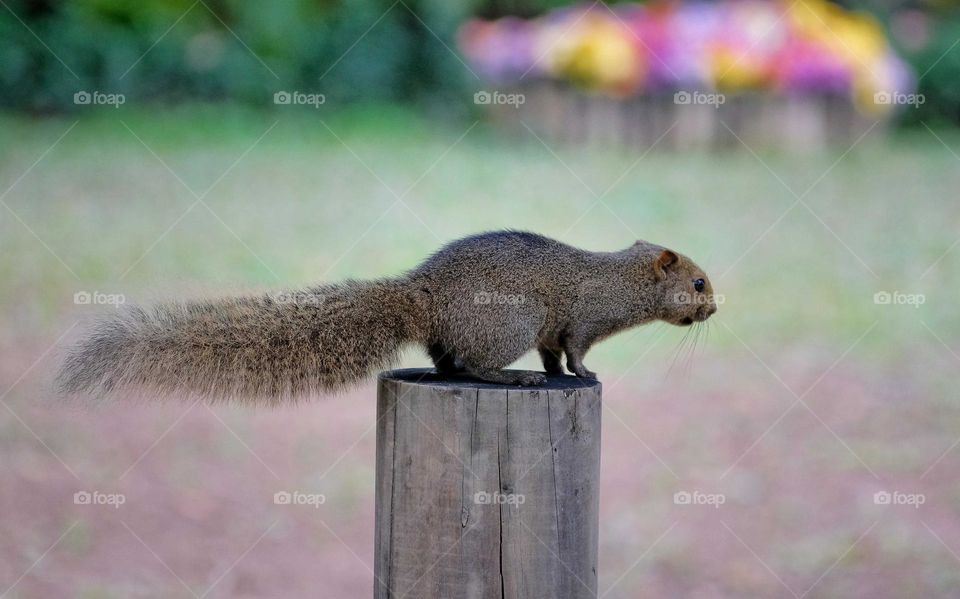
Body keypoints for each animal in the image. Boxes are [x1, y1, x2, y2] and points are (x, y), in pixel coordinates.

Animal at [58, 231, 717, 402]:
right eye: (698, 282)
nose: (713, 307)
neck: (622, 282)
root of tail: (422, 295)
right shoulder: (580, 321)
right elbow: (574, 352)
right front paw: (578, 376)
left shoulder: (555, 330)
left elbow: (556, 351)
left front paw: (559, 375)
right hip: (504, 325)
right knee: (472, 364)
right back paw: (513, 376)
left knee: (446, 360)